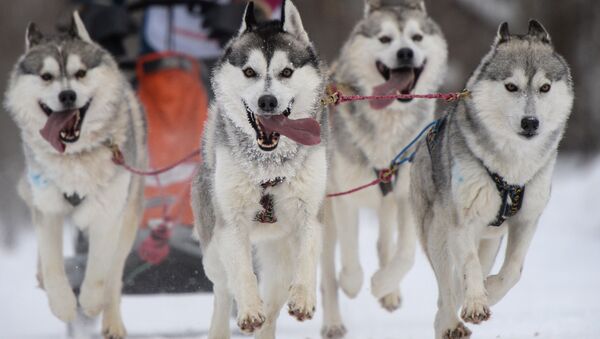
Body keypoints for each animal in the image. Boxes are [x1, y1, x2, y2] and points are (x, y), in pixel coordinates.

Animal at [4, 11, 146, 338]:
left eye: (80, 73)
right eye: (46, 77)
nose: (67, 95)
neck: (75, 157)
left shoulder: (108, 214)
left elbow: (99, 271)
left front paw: (91, 303)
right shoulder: (48, 210)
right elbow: (54, 265)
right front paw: (63, 305)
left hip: (128, 219)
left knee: (115, 274)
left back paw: (111, 322)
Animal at [191, 1, 328, 338]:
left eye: (287, 72)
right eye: (250, 72)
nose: (268, 101)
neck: (268, 167)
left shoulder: (310, 212)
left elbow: (309, 253)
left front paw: (303, 298)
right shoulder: (232, 223)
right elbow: (242, 274)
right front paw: (250, 310)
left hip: (279, 259)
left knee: (274, 304)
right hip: (213, 250)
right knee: (223, 290)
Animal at [324, 0, 446, 338]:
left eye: (416, 38)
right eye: (384, 39)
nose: (405, 53)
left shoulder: (405, 195)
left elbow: (404, 255)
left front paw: (382, 285)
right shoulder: (344, 198)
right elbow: (350, 256)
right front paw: (353, 283)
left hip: (388, 205)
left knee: (384, 244)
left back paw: (389, 291)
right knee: (325, 274)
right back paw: (332, 321)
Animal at [410, 19, 576, 338]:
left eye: (545, 87)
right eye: (511, 86)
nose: (530, 122)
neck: (511, 171)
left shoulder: (527, 220)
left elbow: (513, 270)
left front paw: (489, 292)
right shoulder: (463, 223)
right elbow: (469, 267)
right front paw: (476, 304)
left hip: (489, 241)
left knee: (464, 278)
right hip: (438, 235)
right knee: (446, 290)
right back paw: (449, 323)